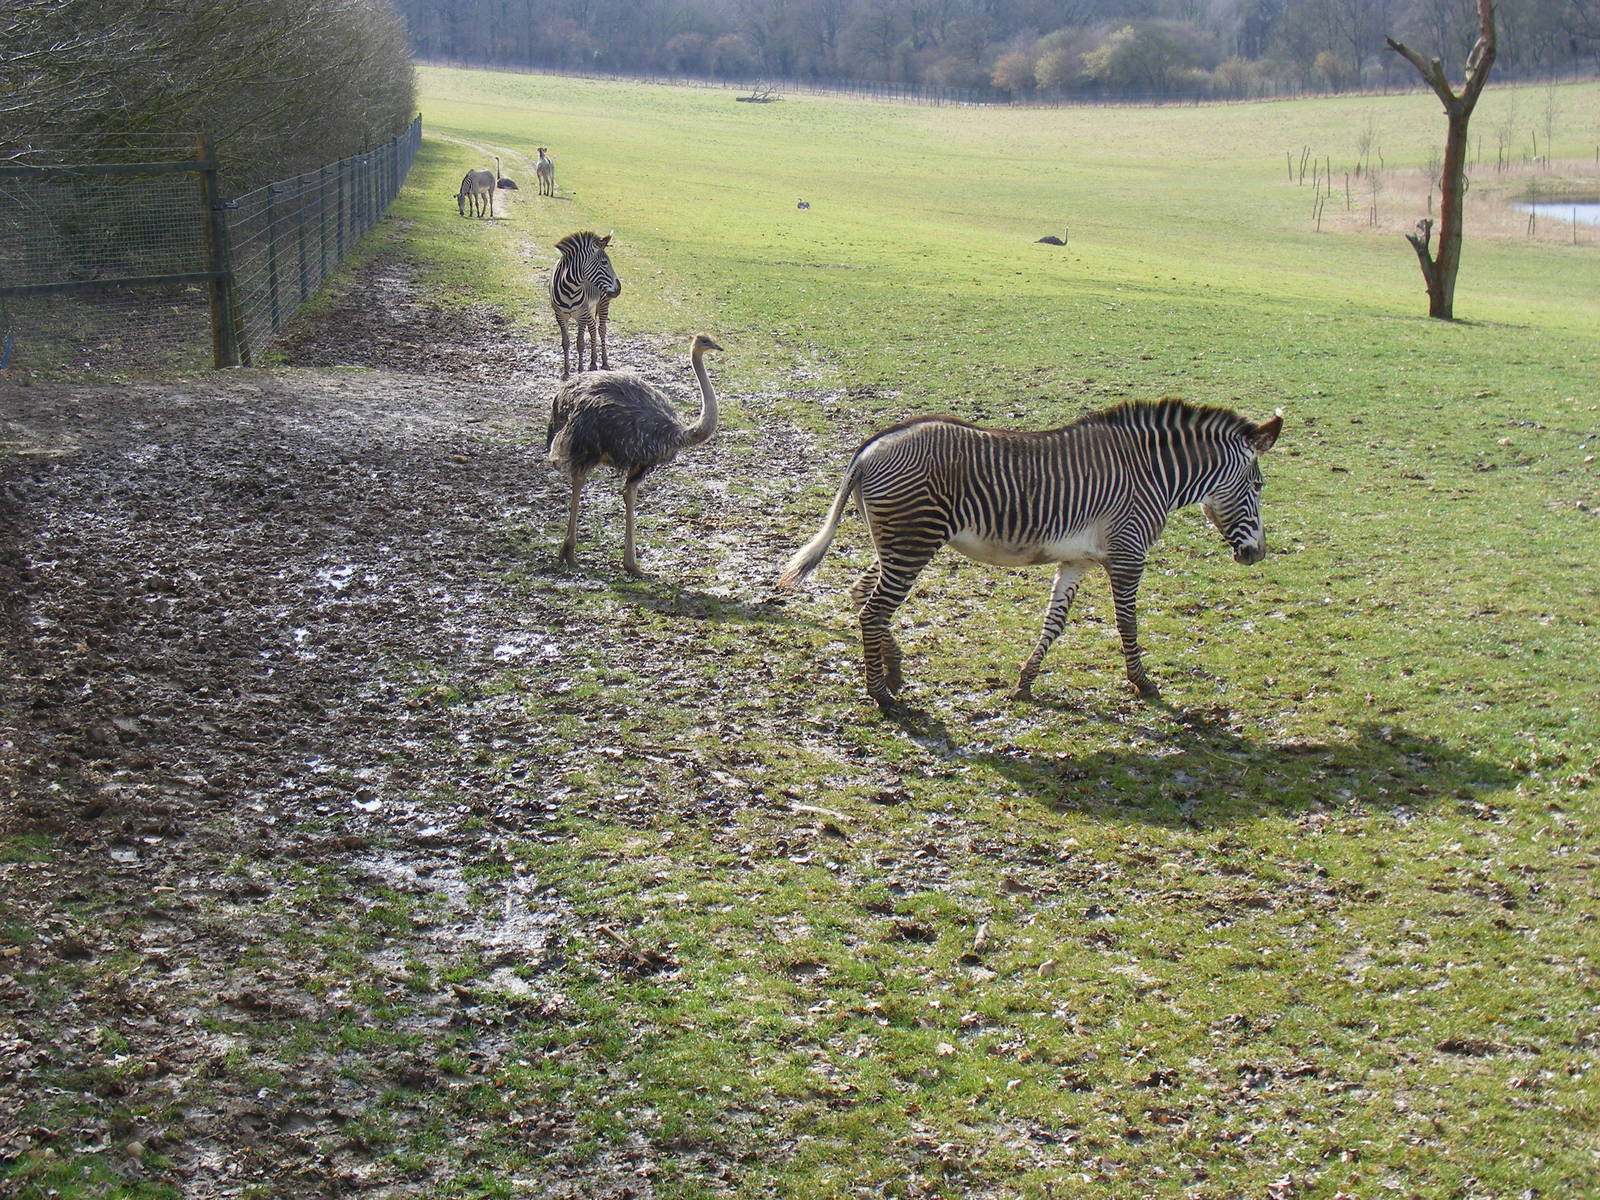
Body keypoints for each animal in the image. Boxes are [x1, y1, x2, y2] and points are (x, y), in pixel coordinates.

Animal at [550, 231, 622, 380]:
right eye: (604, 262)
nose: (619, 289)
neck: (570, 288)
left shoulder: (581, 316)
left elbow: (580, 343)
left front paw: (580, 370)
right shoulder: (560, 316)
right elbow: (566, 343)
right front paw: (566, 371)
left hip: (603, 302)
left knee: (602, 329)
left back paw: (604, 362)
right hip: (588, 309)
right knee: (593, 329)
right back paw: (593, 362)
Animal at [778, 398, 1284, 710]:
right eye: (1258, 486)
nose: (1257, 555)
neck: (1150, 474)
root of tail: (871, 446)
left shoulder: (1078, 559)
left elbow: (1054, 622)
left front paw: (1024, 681)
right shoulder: (1128, 553)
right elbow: (1128, 622)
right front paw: (1142, 683)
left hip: (896, 541)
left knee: (861, 593)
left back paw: (894, 672)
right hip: (913, 540)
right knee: (874, 608)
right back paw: (880, 693)